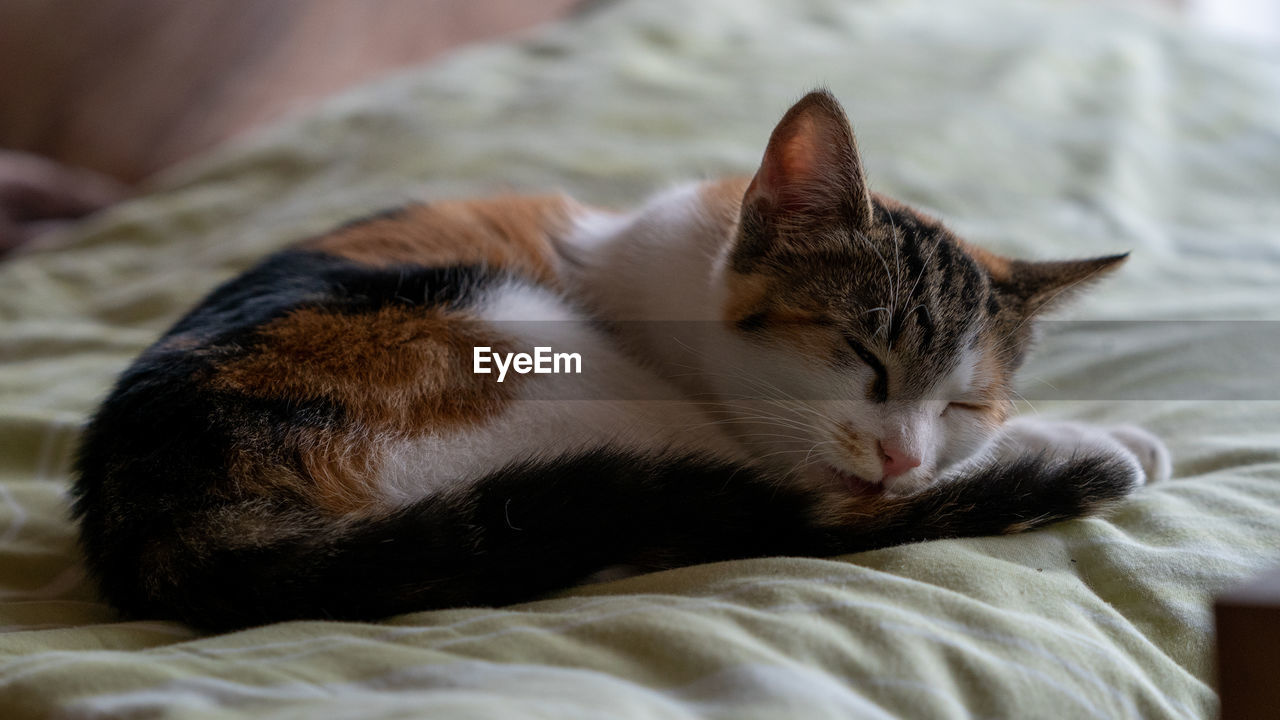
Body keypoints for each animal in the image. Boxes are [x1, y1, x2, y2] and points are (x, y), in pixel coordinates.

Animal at [70, 89, 1172, 627]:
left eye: (961, 407)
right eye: (863, 356)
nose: (905, 454)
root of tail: (156, 521)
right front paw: (1091, 438)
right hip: (527, 342)